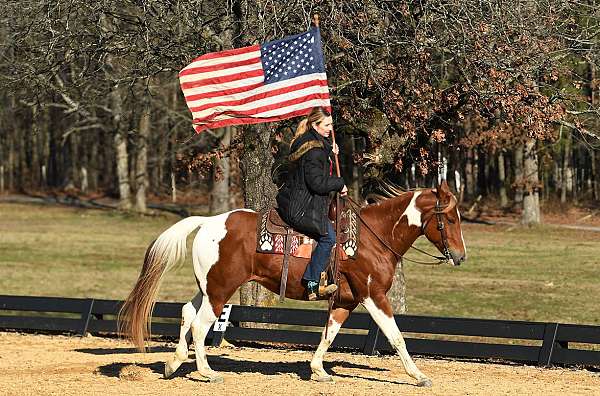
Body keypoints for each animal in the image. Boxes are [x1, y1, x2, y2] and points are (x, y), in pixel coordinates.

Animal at [120, 179, 468, 386]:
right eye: (450, 219)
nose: (460, 256)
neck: (372, 238)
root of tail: (208, 222)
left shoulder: (345, 300)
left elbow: (329, 335)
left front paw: (318, 370)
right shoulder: (374, 295)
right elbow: (396, 337)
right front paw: (418, 375)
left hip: (208, 289)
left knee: (186, 313)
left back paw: (173, 363)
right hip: (220, 291)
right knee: (200, 325)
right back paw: (206, 372)